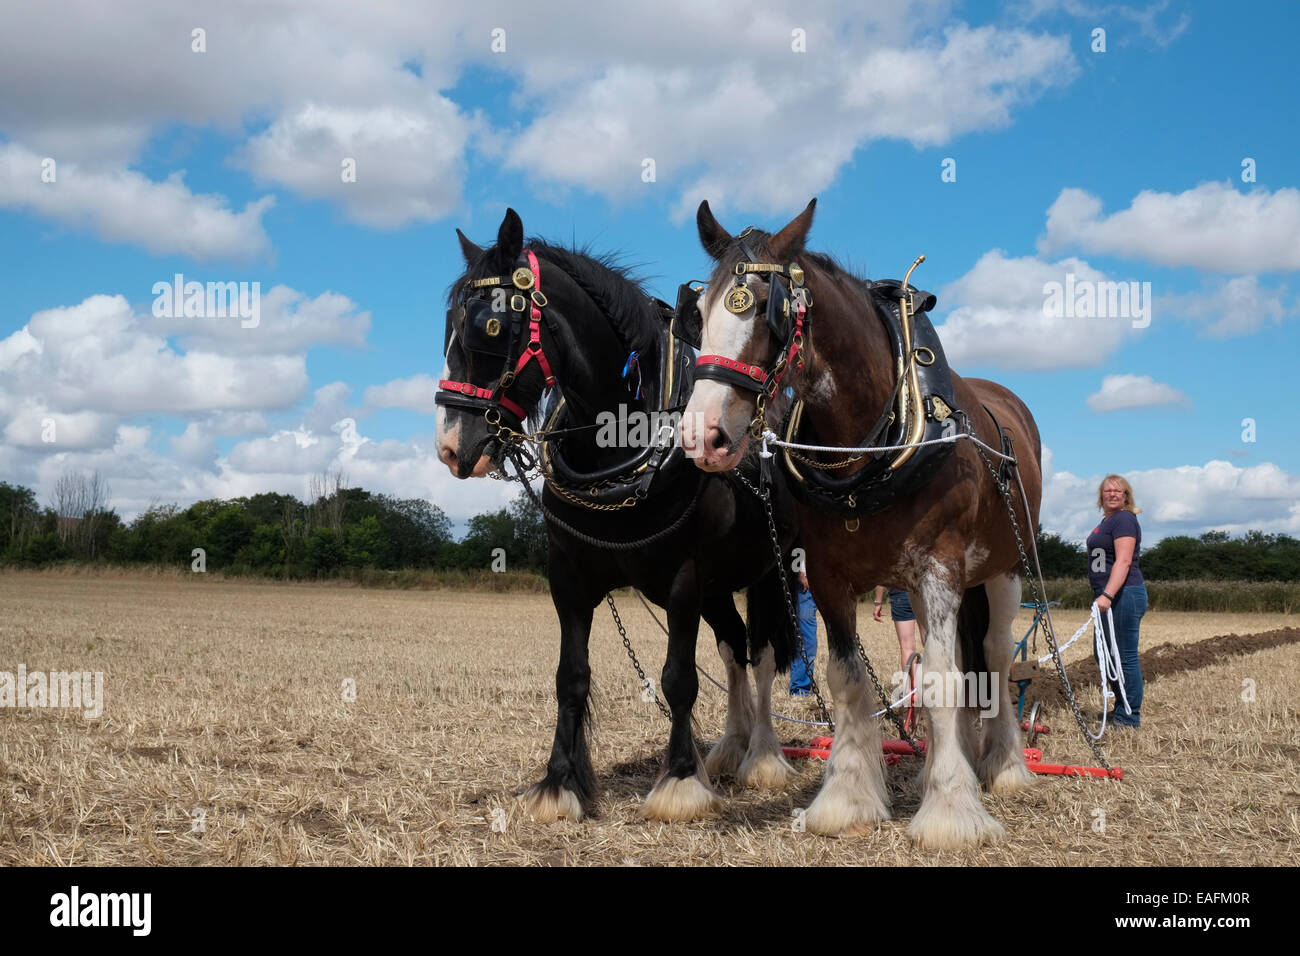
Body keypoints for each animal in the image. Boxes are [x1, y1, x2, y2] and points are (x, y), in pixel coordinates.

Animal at [436, 209, 800, 822]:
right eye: (447, 322)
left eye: (490, 327)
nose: (450, 447)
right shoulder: (570, 577)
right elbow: (571, 677)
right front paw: (559, 783)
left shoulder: (683, 579)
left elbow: (679, 680)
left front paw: (679, 782)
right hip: (718, 587)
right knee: (732, 648)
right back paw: (730, 748)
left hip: (766, 573)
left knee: (764, 653)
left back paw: (764, 757)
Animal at [686, 200, 1040, 842]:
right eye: (698, 313)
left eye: (770, 313)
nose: (703, 435)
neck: (867, 451)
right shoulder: (829, 577)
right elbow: (849, 678)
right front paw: (847, 799)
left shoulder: (941, 568)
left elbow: (943, 679)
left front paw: (952, 810)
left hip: (1001, 569)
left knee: (996, 656)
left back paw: (1002, 765)